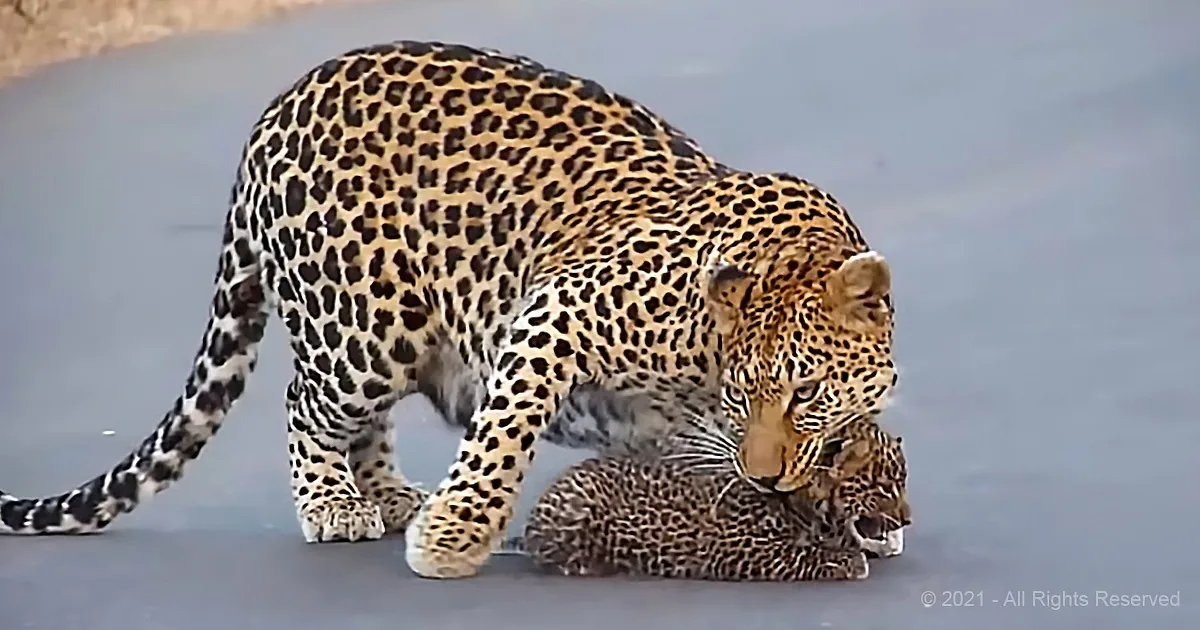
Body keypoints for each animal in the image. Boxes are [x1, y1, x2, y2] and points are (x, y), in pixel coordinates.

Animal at [499, 415, 909, 581]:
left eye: (902, 482)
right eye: (885, 487)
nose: (907, 519)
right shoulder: (737, 547)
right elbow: (801, 555)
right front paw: (849, 561)